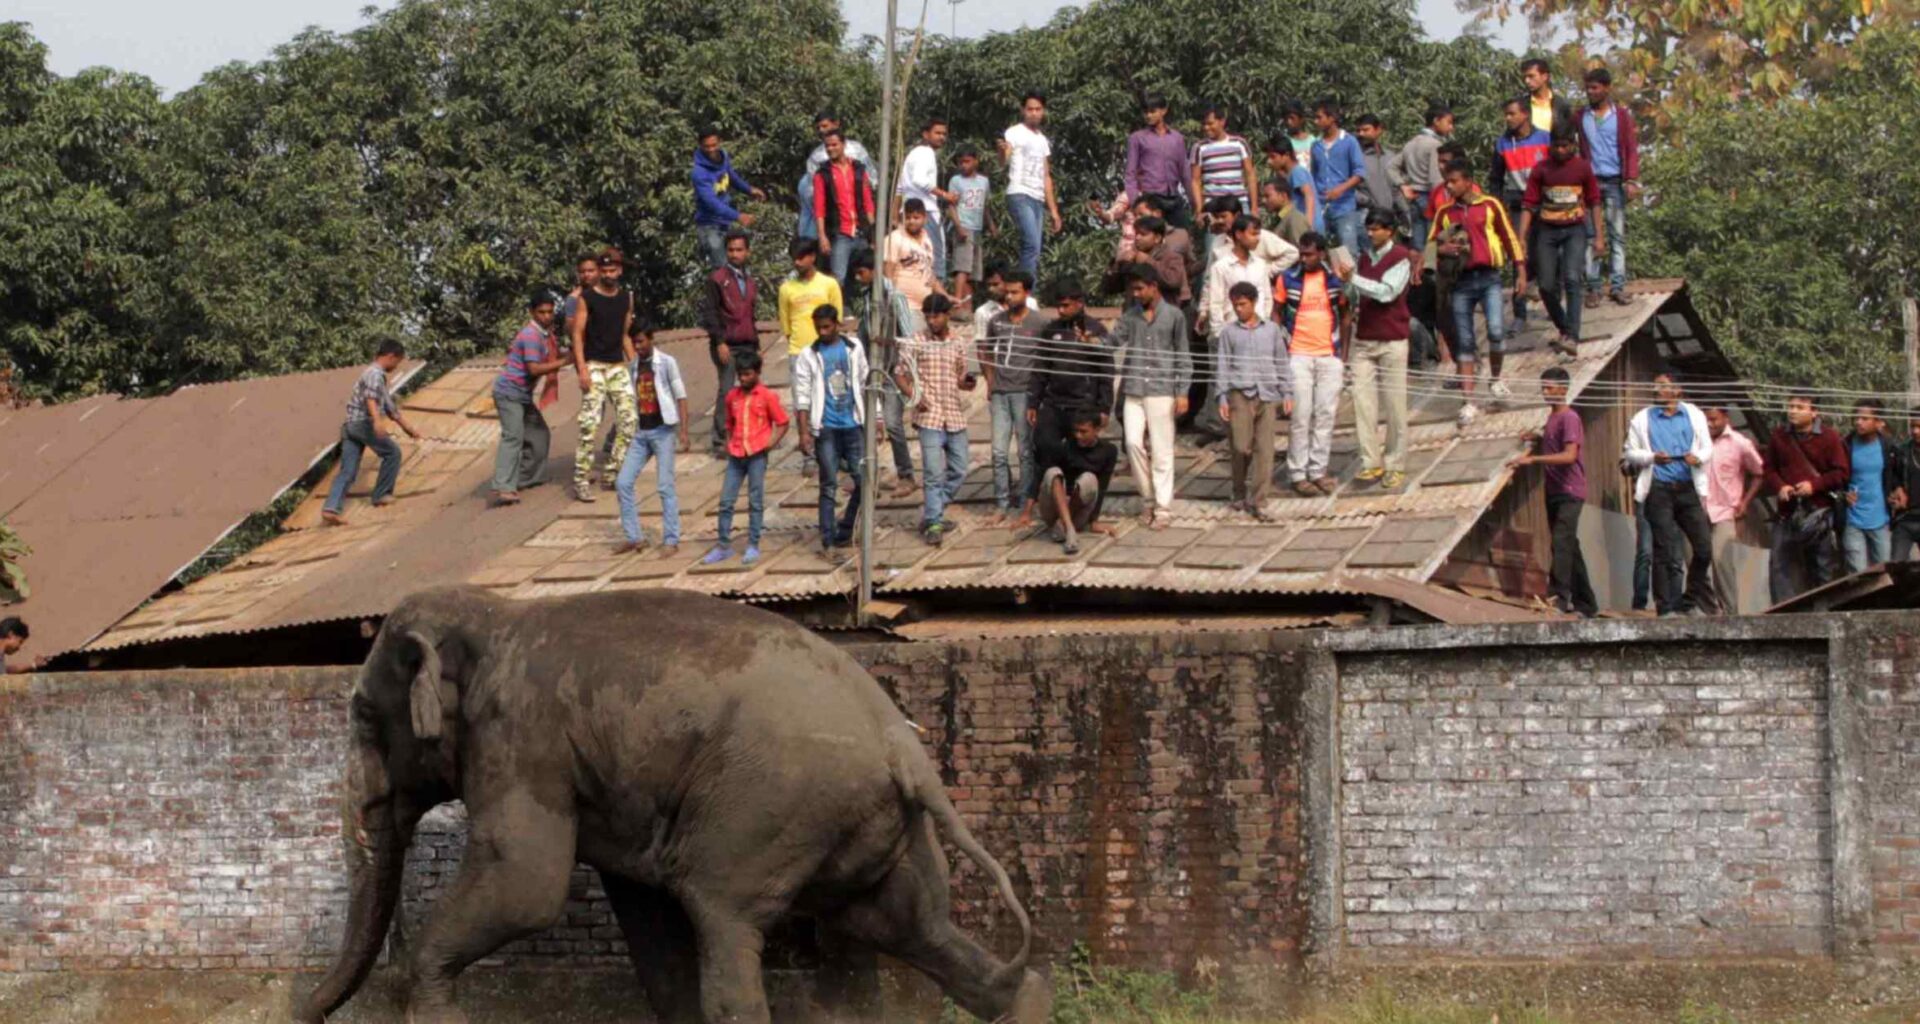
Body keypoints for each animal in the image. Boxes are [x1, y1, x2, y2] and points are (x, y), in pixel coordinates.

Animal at [296, 585, 1050, 1024]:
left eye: (363, 716)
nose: (299, 1010)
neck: (492, 607)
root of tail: (907, 751)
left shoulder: (519, 737)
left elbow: (526, 885)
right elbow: (645, 915)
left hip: (771, 807)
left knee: (725, 921)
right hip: (868, 828)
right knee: (911, 928)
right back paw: (1020, 997)